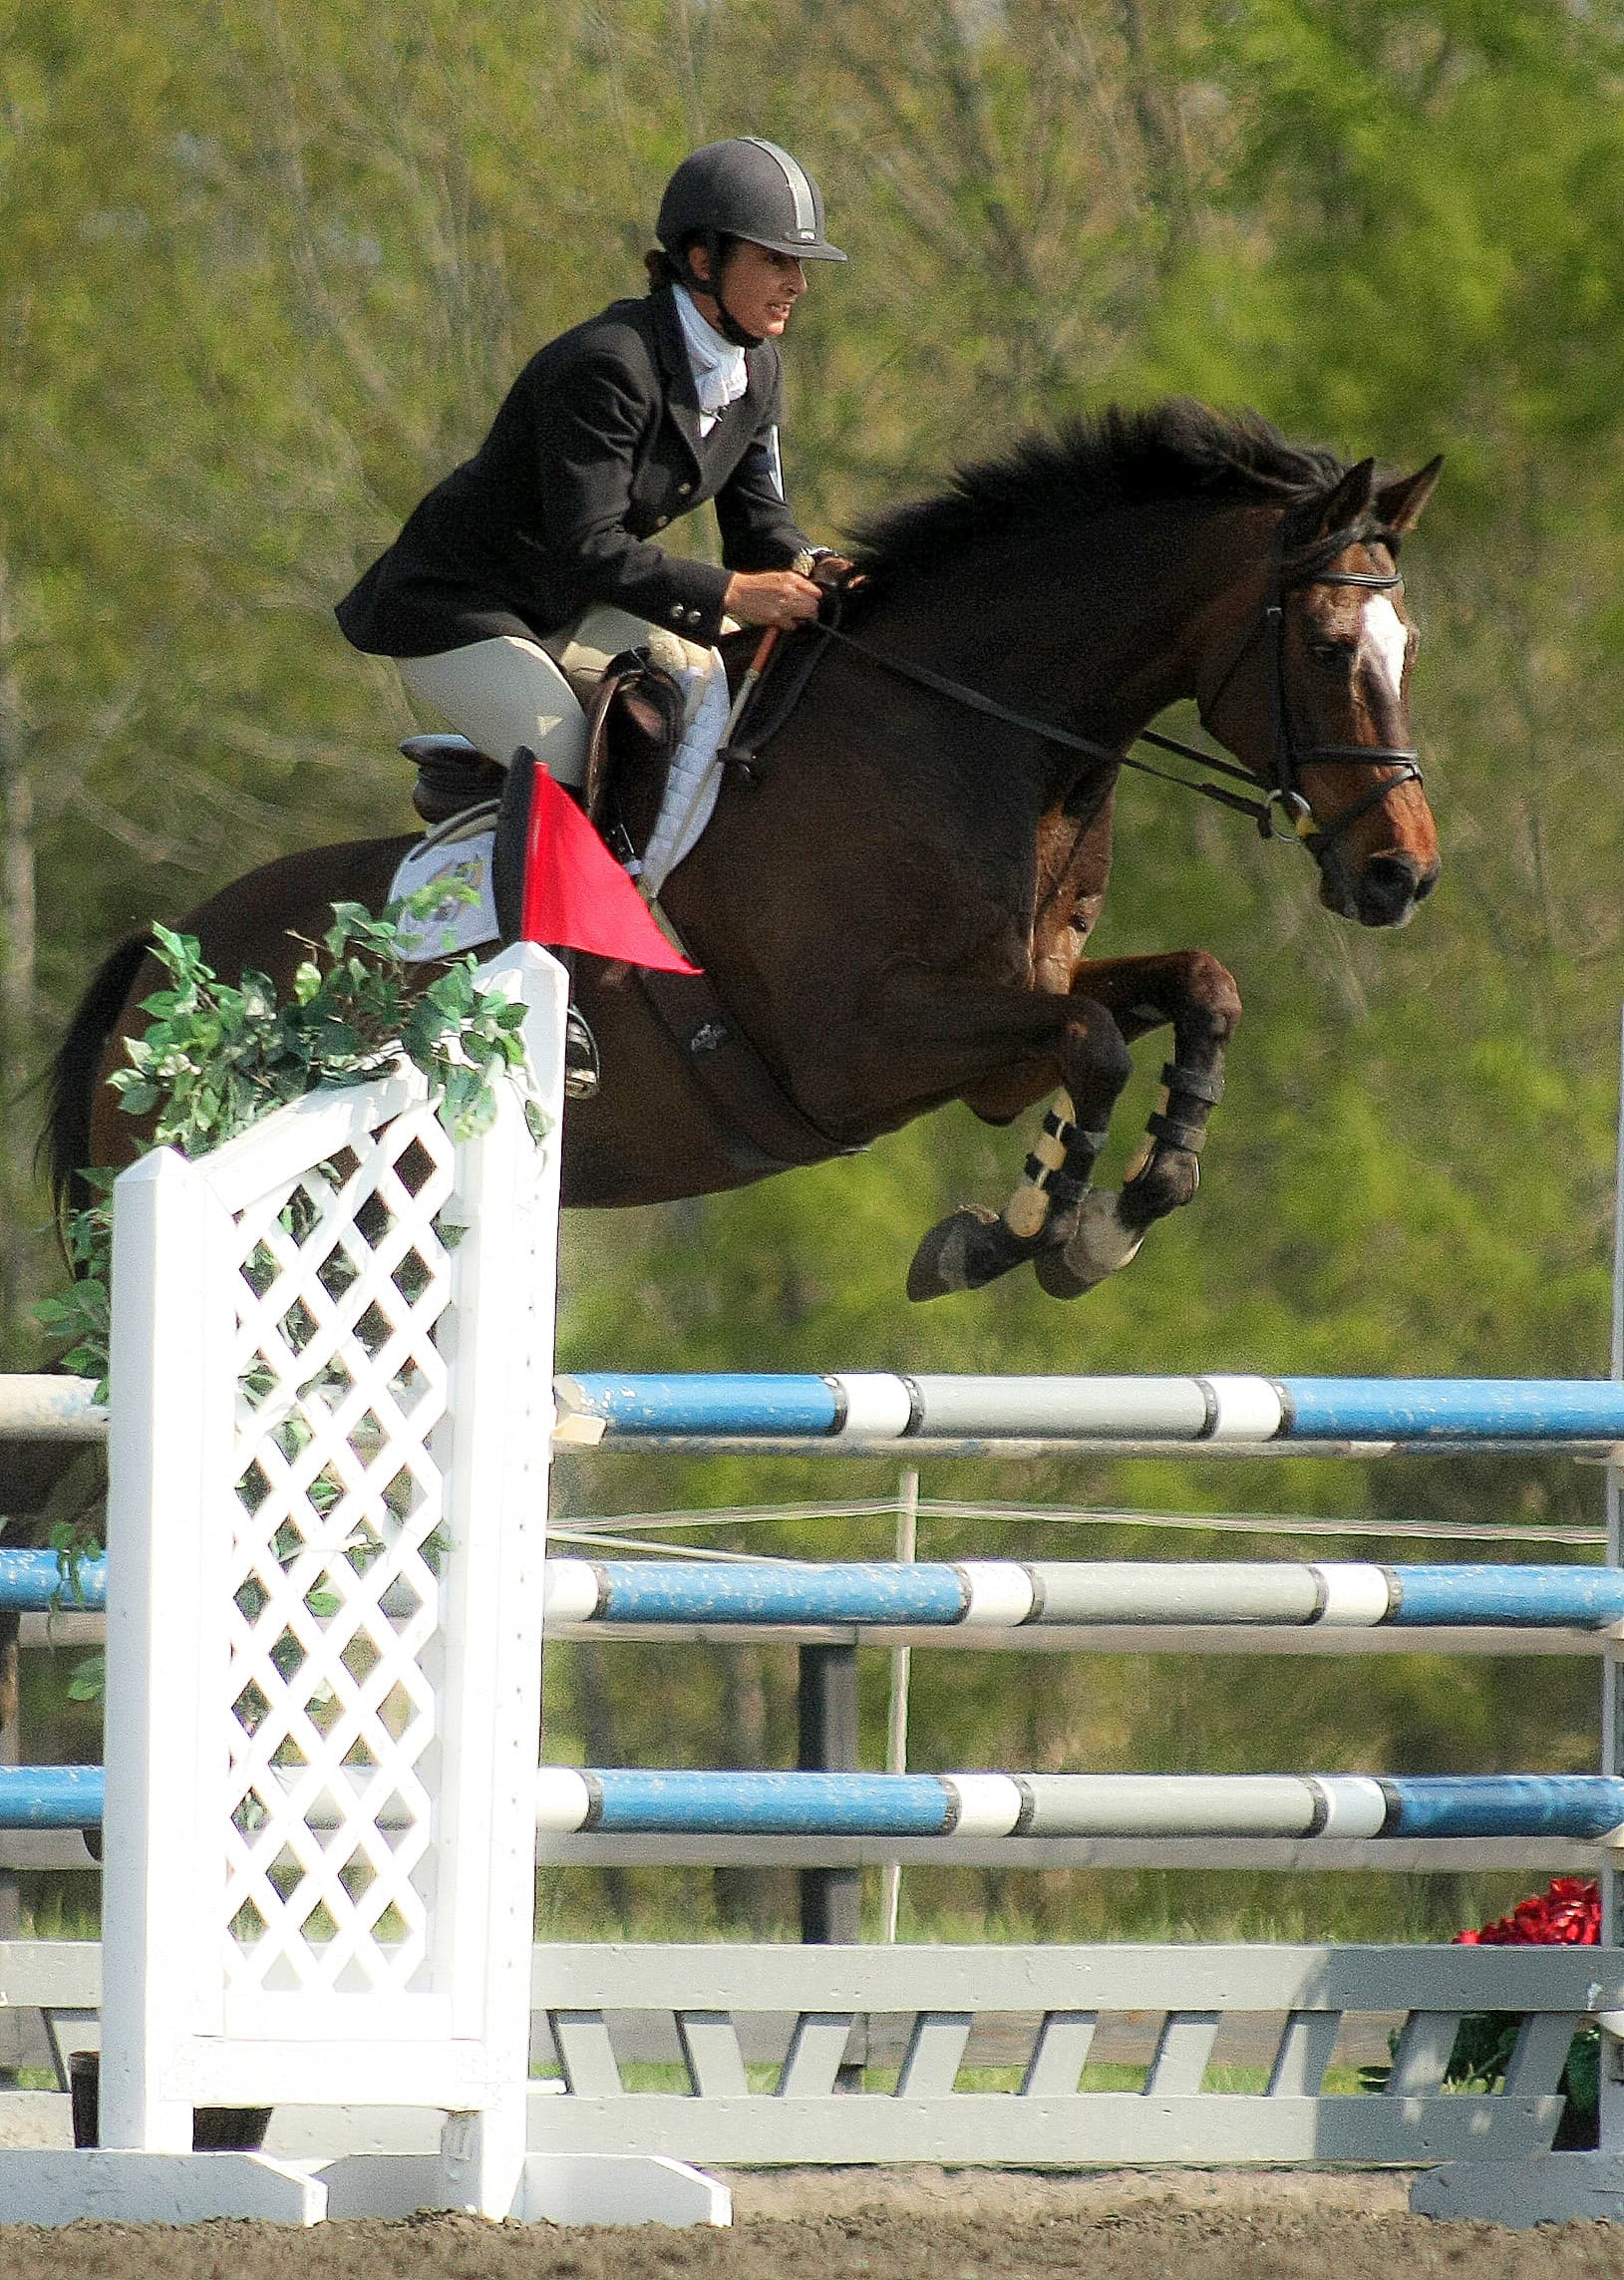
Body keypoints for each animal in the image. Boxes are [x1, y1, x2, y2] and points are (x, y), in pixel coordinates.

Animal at [44, 400, 1442, 1303]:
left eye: (1408, 645)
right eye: (1329, 647)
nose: (1401, 874)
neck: (965, 739)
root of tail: (154, 964)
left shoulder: (1007, 1016)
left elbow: (1195, 989)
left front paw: (1123, 1206)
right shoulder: (855, 1046)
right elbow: (1094, 1043)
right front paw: (1016, 1234)